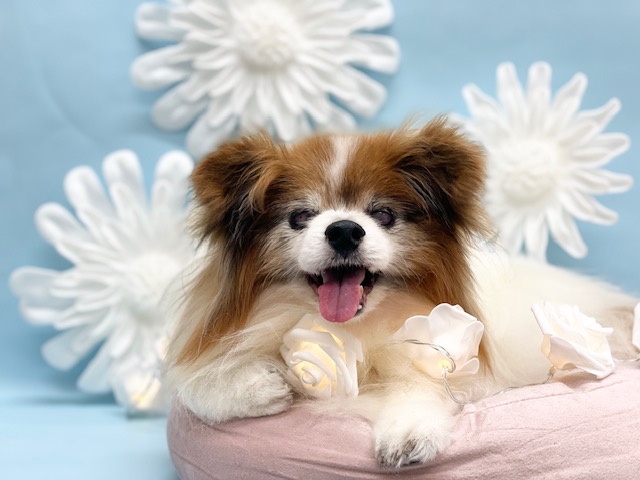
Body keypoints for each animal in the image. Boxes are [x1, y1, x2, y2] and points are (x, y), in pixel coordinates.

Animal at [165, 119, 638, 467]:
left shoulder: (454, 364)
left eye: (383, 214)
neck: (356, 329)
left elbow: (420, 386)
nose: (344, 230)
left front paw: (410, 432)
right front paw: (256, 386)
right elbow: (195, 385)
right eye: (300, 216)